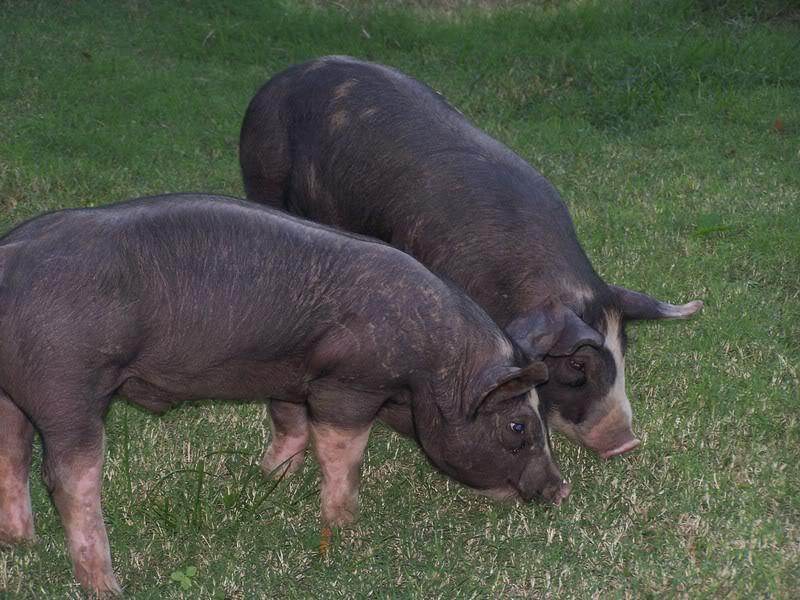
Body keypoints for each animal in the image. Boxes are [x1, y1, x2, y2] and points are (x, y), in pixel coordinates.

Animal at [0, 193, 567, 595]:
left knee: (12, 452)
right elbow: (341, 449)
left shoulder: (294, 373)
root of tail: (10, 259)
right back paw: (107, 586)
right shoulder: (347, 382)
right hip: (66, 382)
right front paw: (345, 527)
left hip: (13, 391)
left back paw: (21, 542)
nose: (559, 490)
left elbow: (289, 423)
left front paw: (267, 479)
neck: (430, 369)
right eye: (518, 425)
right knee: (67, 475)